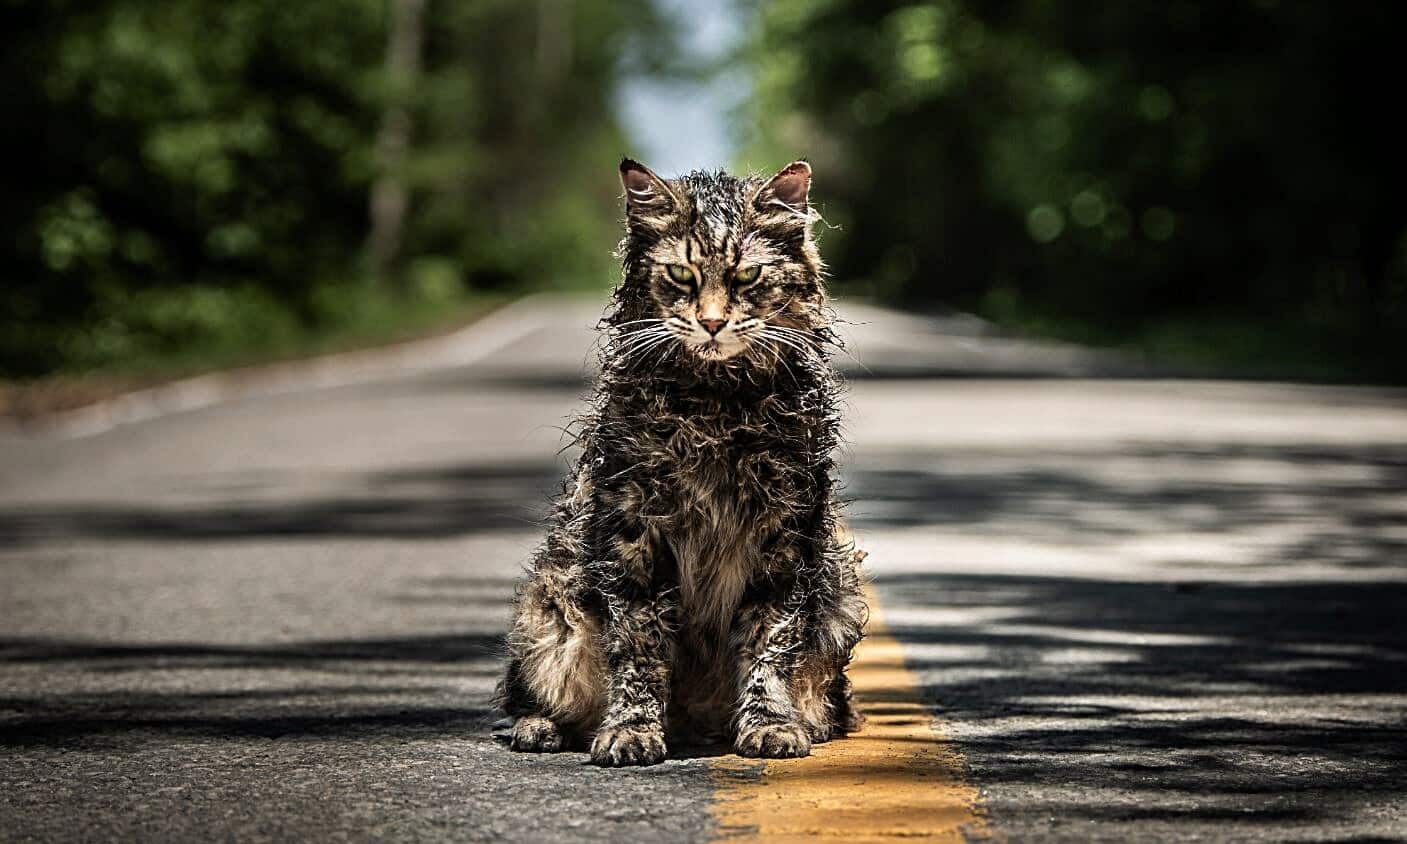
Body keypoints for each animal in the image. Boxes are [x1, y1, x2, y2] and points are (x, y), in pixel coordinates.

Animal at [495, 156, 866, 765]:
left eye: (746, 277)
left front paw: (769, 724)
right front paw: (631, 730)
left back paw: (802, 723)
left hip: (840, 596)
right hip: (549, 606)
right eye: (681, 276)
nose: (712, 323)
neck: (716, 407)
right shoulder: (633, 533)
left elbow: (769, 643)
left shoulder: (785, 536)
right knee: (533, 693)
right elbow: (639, 646)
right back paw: (541, 727)